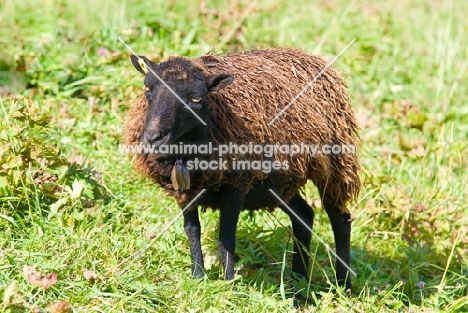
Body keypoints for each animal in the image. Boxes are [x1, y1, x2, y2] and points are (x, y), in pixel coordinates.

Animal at [122, 47, 360, 290]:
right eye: (147, 88)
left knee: (340, 221)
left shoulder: (235, 186)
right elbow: (192, 231)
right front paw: (198, 278)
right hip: (279, 183)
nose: (153, 138)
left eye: (197, 99)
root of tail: (312, 57)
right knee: (304, 216)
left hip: (336, 163)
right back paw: (298, 283)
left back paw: (344, 285)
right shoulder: (184, 191)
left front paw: (228, 284)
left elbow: (226, 238)